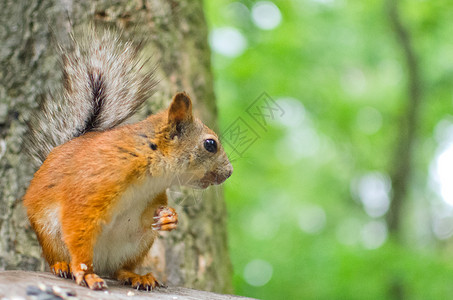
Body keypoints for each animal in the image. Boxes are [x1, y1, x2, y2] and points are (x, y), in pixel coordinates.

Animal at [22, 28, 231, 290]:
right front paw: (85, 274)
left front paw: (169, 217)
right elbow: (78, 224)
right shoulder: (92, 187)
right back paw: (65, 266)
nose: (229, 172)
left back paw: (136, 275)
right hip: (49, 233)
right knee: (61, 256)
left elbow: (147, 216)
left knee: (120, 268)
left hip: (135, 245)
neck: (149, 167)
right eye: (210, 144)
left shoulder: (151, 197)